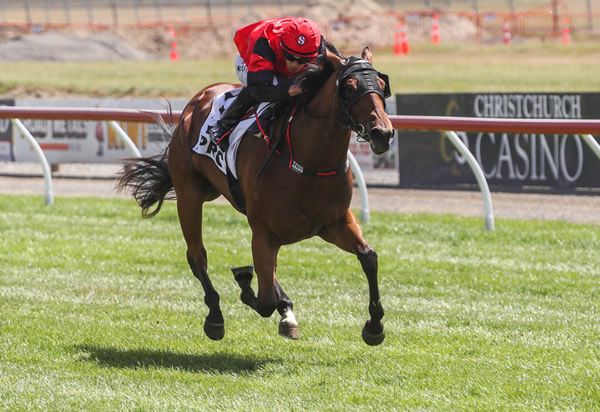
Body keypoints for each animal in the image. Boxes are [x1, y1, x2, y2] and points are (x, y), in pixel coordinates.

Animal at [119, 46, 396, 346]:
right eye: (349, 86)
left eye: (381, 86)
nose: (383, 133)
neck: (310, 160)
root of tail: (197, 101)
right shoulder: (264, 233)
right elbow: (264, 301)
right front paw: (245, 283)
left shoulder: (334, 223)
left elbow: (369, 258)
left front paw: (374, 326)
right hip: (189, 195)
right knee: (197, 256)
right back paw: (215, 316)